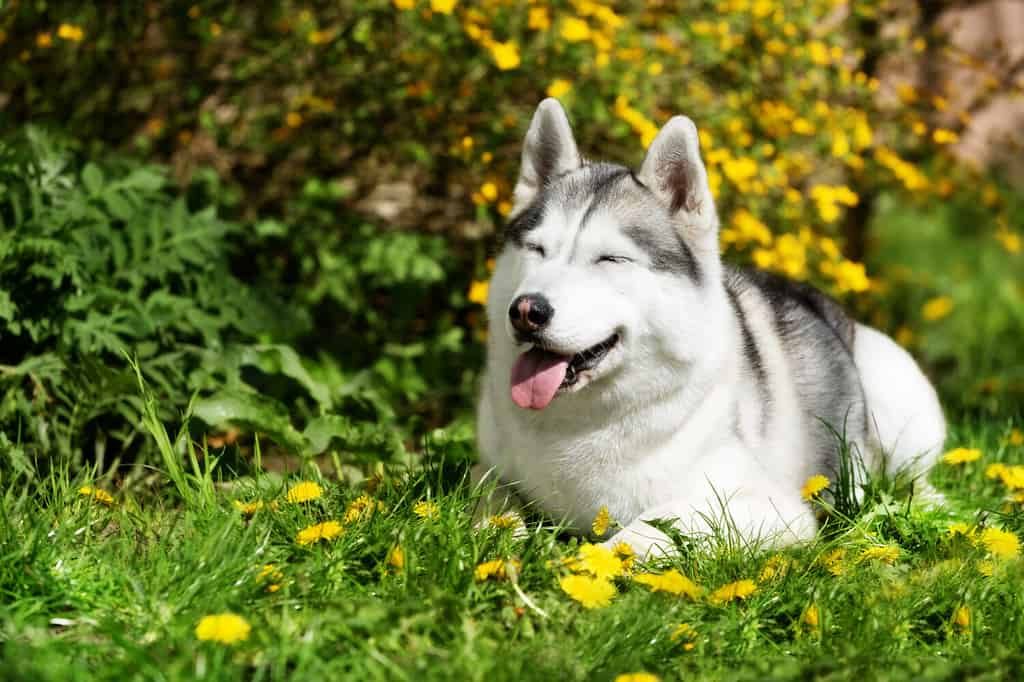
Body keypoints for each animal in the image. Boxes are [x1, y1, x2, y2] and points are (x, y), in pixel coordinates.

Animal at [475, 98, 946, 557]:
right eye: (536, 249)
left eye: (610, 259)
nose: (527, 311)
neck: (583, 420)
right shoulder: (487, 472)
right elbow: (490, 505)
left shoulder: (771, 509)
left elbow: (642, 532)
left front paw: (582, 561)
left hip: (891, 390)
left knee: (912, 477)